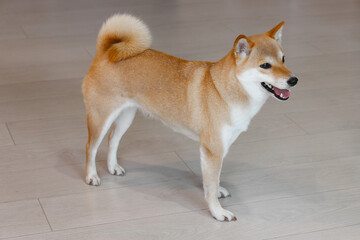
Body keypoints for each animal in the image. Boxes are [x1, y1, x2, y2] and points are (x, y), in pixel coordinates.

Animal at [81, 14, 298, 221]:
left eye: (284, 59)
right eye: (265, 65)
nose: (294, 80)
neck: (226, 89)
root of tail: (105, 52)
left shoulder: (218, 148)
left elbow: (212, 180)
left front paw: (217, 193)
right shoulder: (213, 150)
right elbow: (211, 184)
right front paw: (218, 212)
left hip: (126, 116)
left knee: (113, 140)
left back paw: (112, 167)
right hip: (101, 117)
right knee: (91, 147)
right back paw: (91, 176)